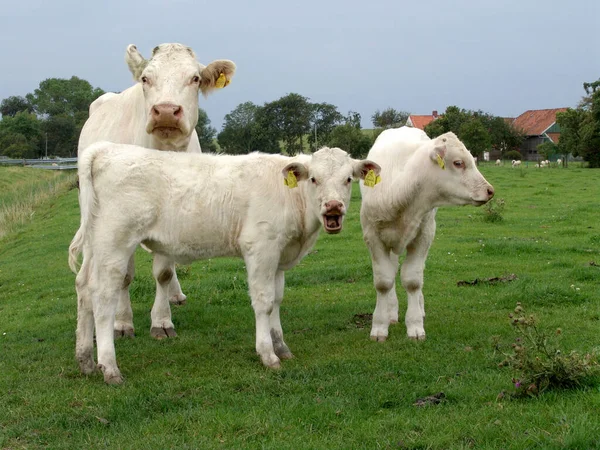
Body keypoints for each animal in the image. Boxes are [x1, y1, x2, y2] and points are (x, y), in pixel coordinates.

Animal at [68, 142, 378, 384]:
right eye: (313, 179)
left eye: (348, 179)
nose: (334, 207)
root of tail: (105, 149)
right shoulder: (260, 248)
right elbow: (263, 302)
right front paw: (267, 353)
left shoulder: (278, 256)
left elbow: (277, 299)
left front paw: (281, 345)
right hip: (115, 243)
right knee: (103, 296)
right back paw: (109, 367)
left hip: (96, 245)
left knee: (83, 288)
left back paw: (85, 361)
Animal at [79, 43, 237, 338]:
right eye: (145, 78)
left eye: (195, 78)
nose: (165, 111)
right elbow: (124, 275)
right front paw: (122, 322)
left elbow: (163, 272)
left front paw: (162, 321)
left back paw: (175, 295)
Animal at [360, 126, 492, 342]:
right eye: (458, 162)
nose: (490, 190)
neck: (398, 192)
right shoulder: (372, 237)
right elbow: (383, 282)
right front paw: (380, 326)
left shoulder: (424, 235)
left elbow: (413, 280)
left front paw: (415, 326)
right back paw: (391, 312)